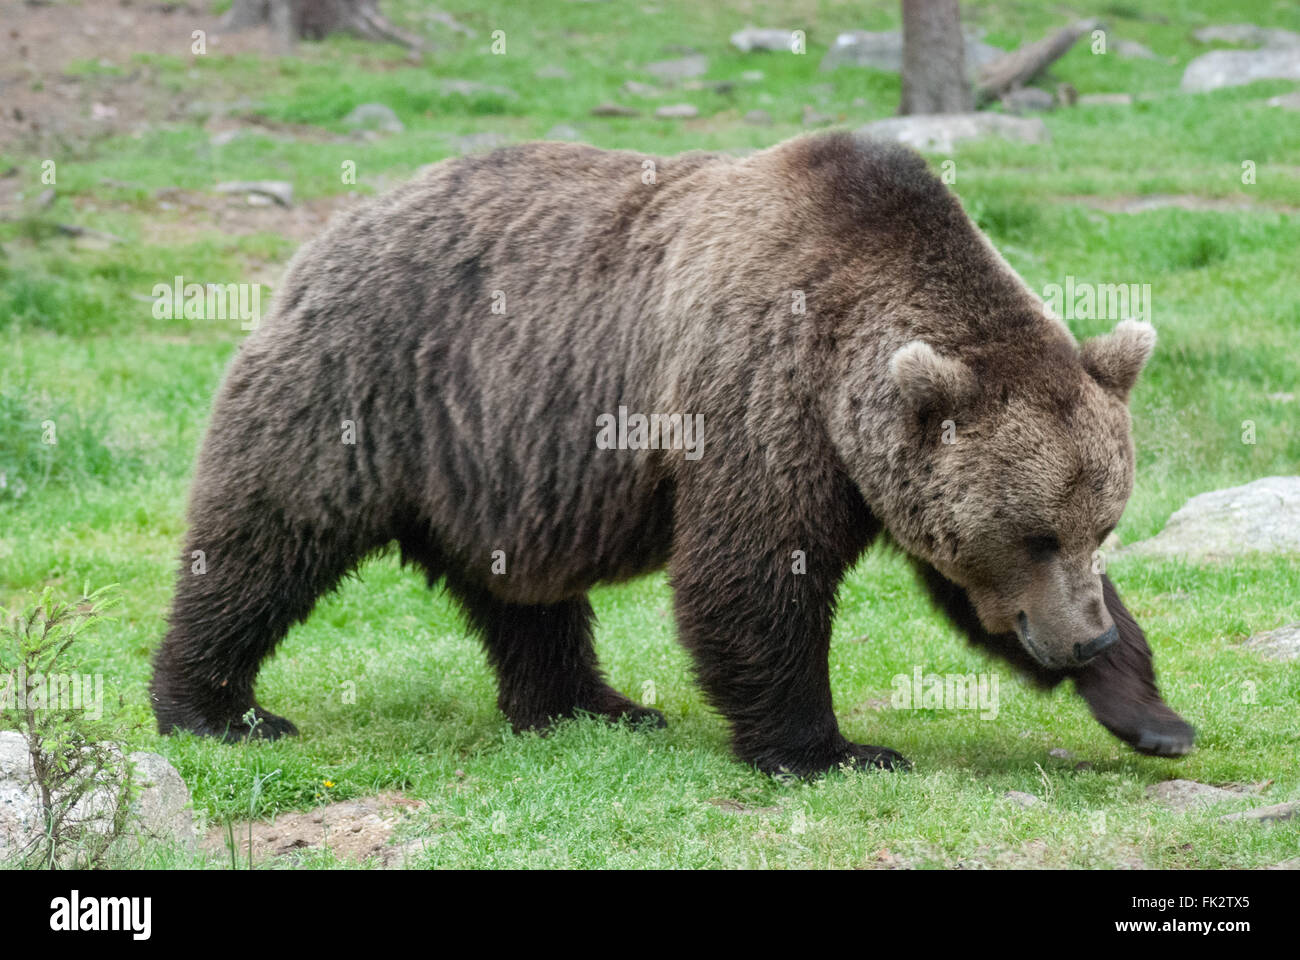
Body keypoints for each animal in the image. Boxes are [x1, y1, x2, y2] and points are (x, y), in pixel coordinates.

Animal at [147, 130, 1190, 775]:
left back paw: (592, 702)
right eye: (1035, 533)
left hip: (500, 456)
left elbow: (966, 593)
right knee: (266, 538)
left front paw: (1153, 714)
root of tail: (333, 230)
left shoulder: (883, 465)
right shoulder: (764, 394)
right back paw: (218, 708)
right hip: (362, 389)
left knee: (524, 596)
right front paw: (831, 749)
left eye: (1099, 526)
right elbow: (751, 572)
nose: (1083, 637)